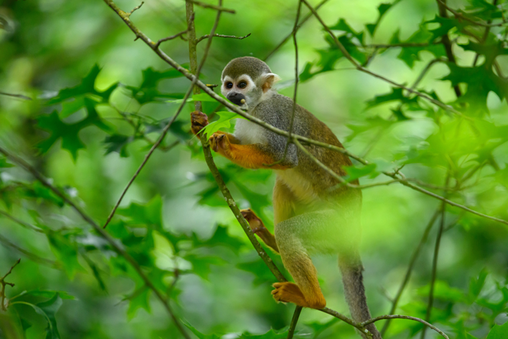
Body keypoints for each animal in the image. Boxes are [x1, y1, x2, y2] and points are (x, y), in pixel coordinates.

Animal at [191, 57, 380, 338]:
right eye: (228, 84)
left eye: (242, 85)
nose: (233, 95)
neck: (257, 106)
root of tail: (355, 232)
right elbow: (248, 144)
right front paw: (200, 125)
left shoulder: (274, 118)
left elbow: (284, 157)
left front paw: (224, 145)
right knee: (283, 185)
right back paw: (267, 235)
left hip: (335, 226)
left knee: (289, 230)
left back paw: (312, 300)